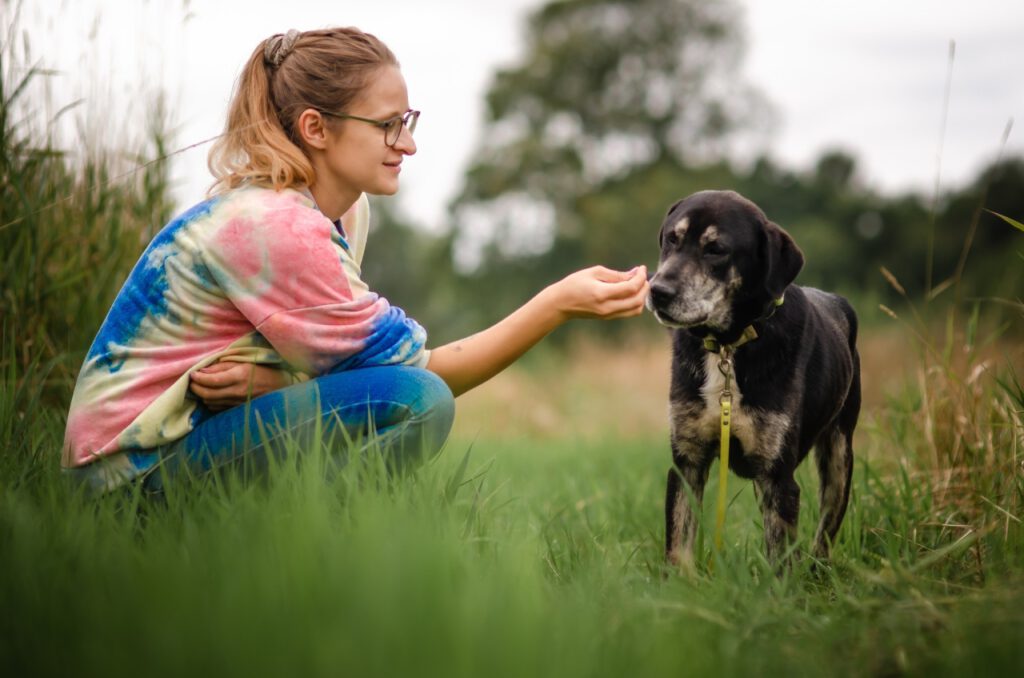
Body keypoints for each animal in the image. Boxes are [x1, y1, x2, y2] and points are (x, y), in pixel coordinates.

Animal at [647, 188, 864, 565]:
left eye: (716, 248)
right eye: (672, 239)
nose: (657, 291)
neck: (727, 346)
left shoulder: (777, 476)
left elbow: (781, 560)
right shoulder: (687, 463)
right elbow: (678, 548)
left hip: (839, 457)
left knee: (824, 535)